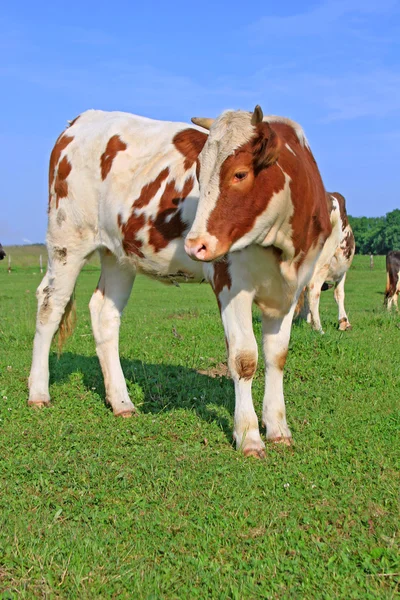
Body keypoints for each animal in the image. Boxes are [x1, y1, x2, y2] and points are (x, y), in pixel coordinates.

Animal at [28, 105, 338, 458]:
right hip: (67, 240)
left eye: (240, 174)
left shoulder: (291, 290)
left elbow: (277, 357)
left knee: (105, 314)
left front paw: (277, 428)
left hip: (118, 254)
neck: (284, 247)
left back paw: (121, 401)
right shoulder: (230, 282)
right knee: (50, 305)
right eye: (199, 174)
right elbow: (244, 358)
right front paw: (248, 436)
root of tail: (84, 118)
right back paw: (39, 393)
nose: (194, 245)